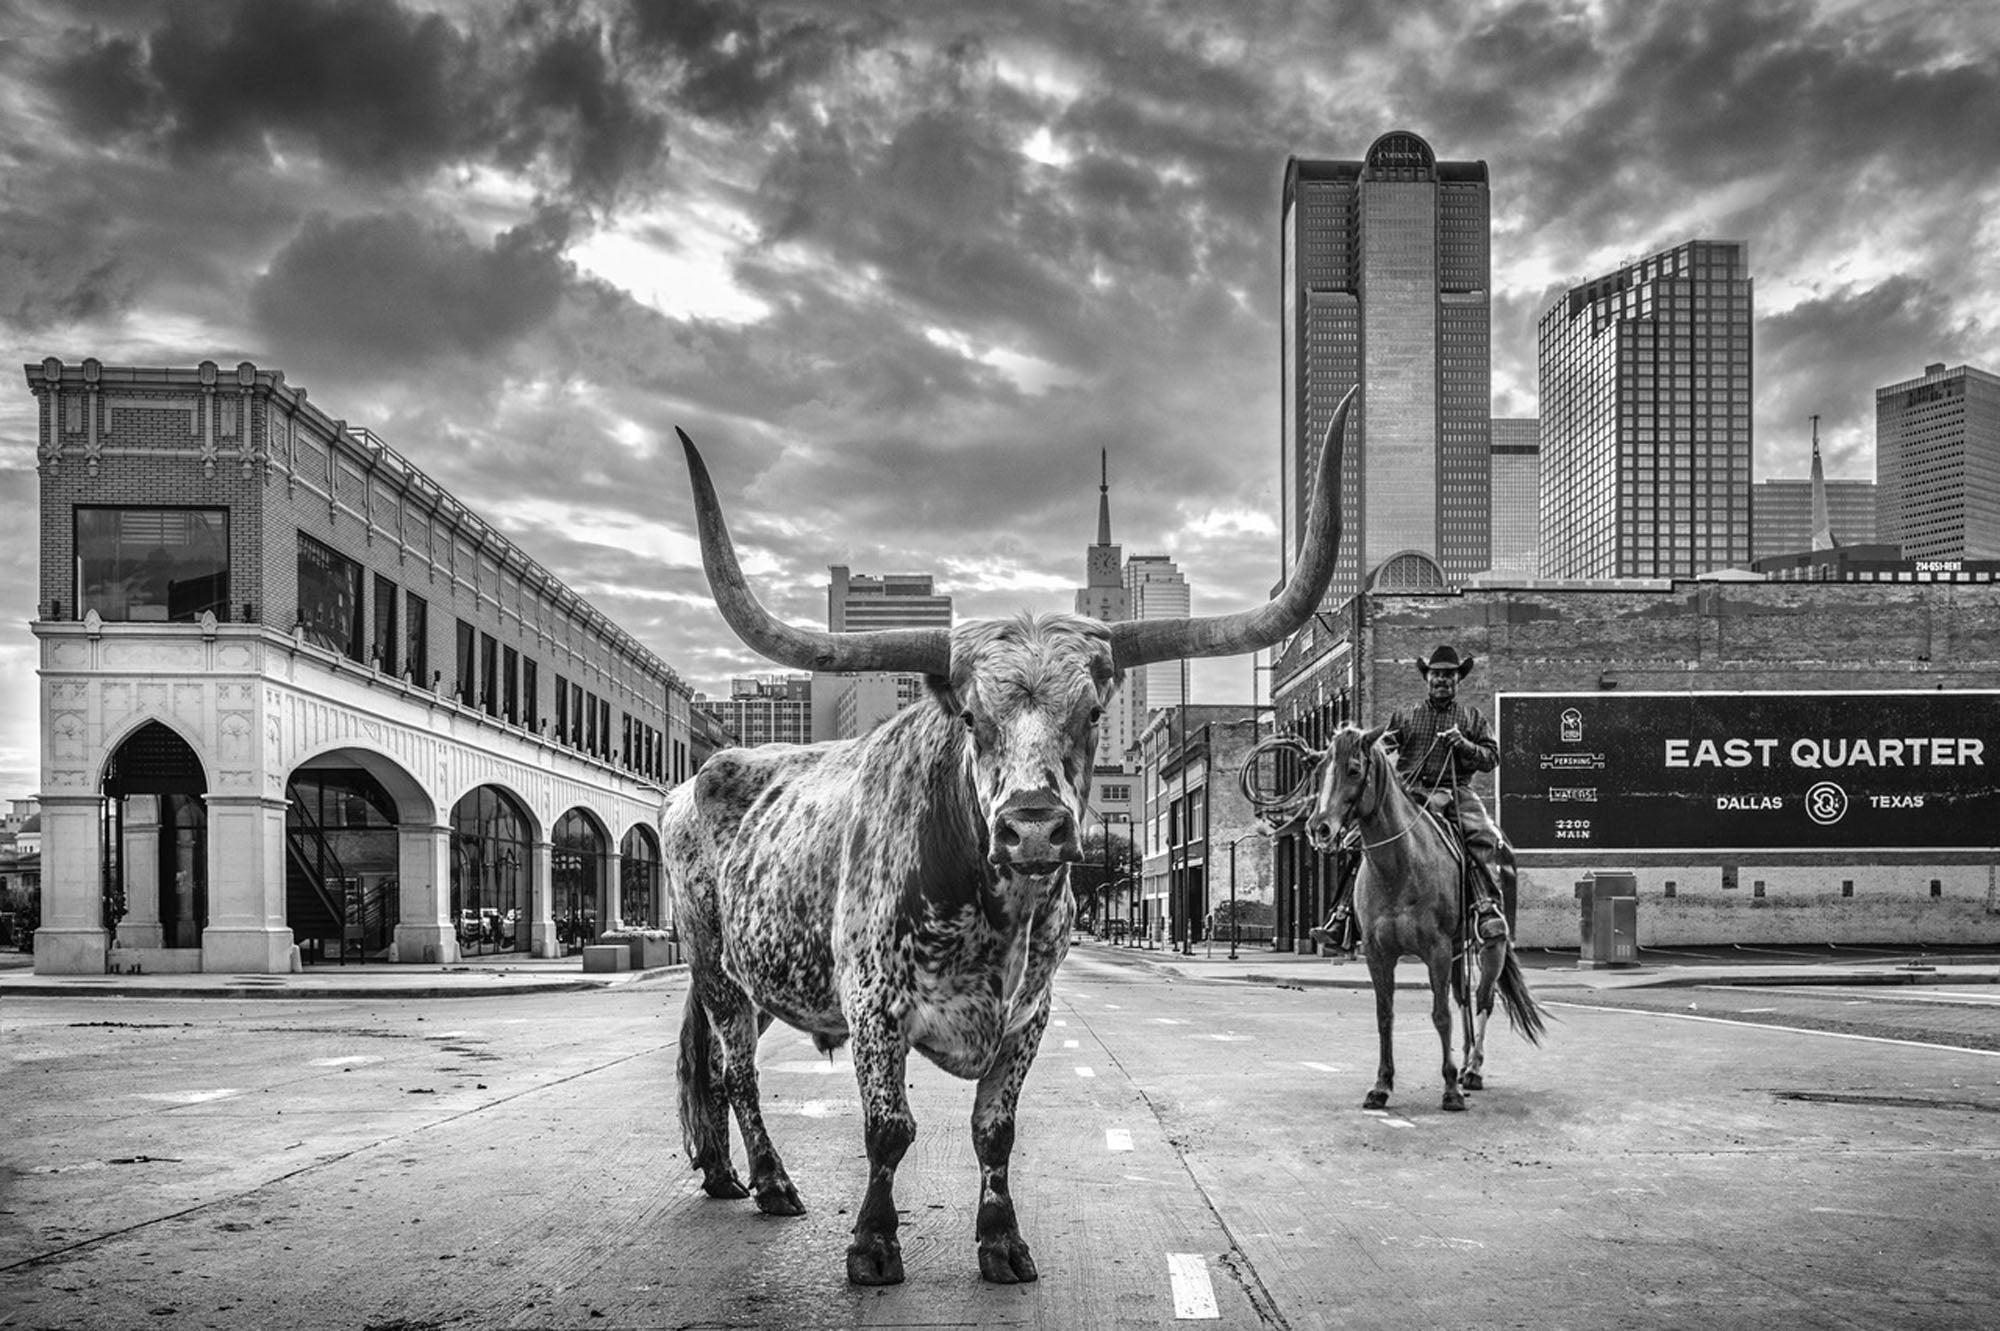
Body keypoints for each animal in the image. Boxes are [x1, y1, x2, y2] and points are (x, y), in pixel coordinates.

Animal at [1296, 719, 1544, 1103]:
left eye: (1354, 770)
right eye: (1319, 772)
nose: (1319, 828)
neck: (1400, 866)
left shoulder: (1436, 950)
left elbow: (1441, 1015)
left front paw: (1449, 1088)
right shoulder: (1379, 954)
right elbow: (1385, 1015)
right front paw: (1382, 1084)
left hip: (1491, 944)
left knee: (1483, 999)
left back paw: (1472, 1069)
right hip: (1458, 949)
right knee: (1463, 999)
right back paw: (1465, 1064)